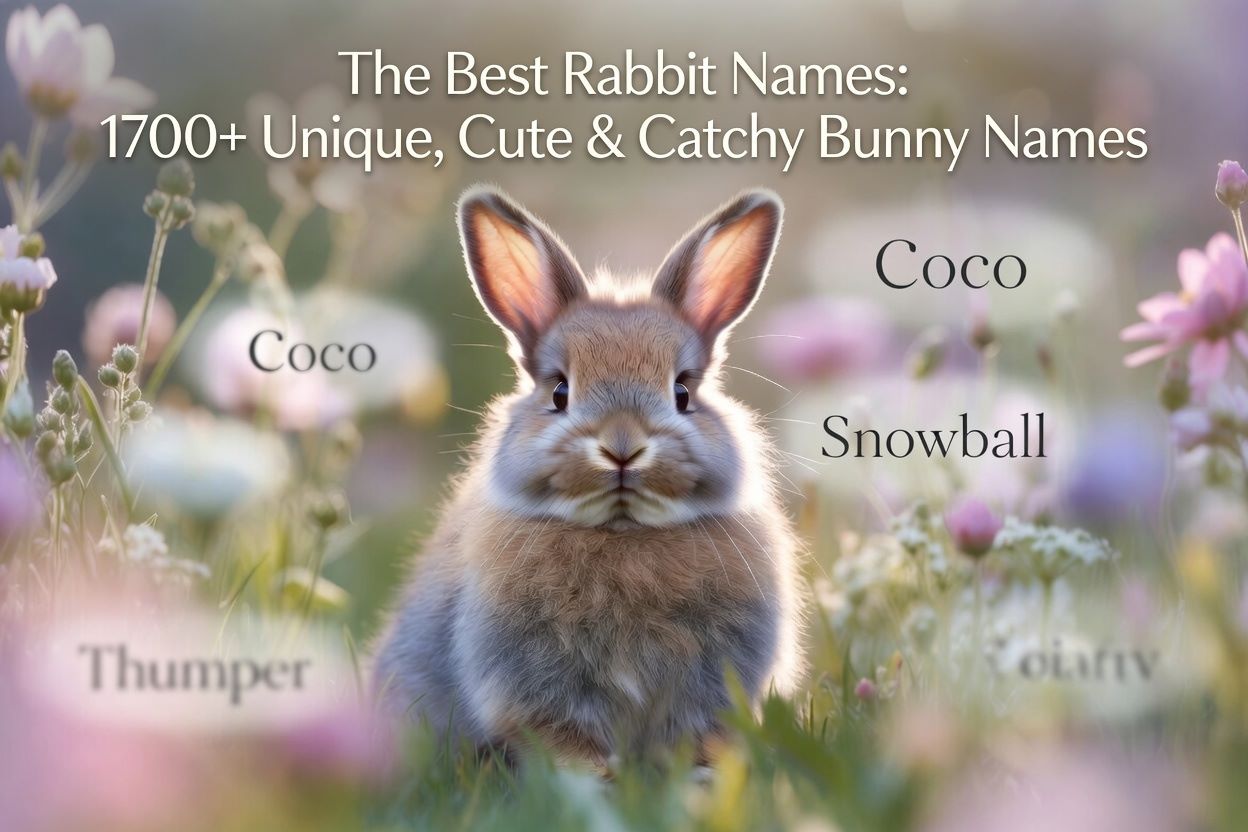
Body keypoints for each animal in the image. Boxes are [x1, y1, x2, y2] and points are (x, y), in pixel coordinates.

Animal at [372, 185, 805, 766]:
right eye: (559, 391)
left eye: (682, 391)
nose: (622, 447)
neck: (623, 532)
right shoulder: (537, 691)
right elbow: (567, 746)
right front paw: (594, 781)